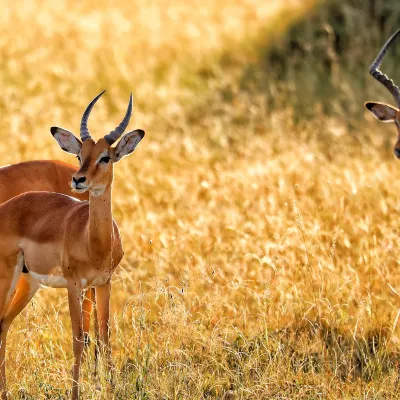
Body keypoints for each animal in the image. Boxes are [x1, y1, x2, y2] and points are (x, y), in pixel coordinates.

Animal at [0, 91, 145, 400]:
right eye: (80, 155)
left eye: (105, 157)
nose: (78, 179)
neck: (93, 242)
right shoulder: (73, 284)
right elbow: (78, 337)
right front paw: (76, 393)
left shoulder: (104, 283)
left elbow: (104, 335)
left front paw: (112, 389)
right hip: (7, 277)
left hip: (29, 282)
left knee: (3, 322)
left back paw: (5, 392)